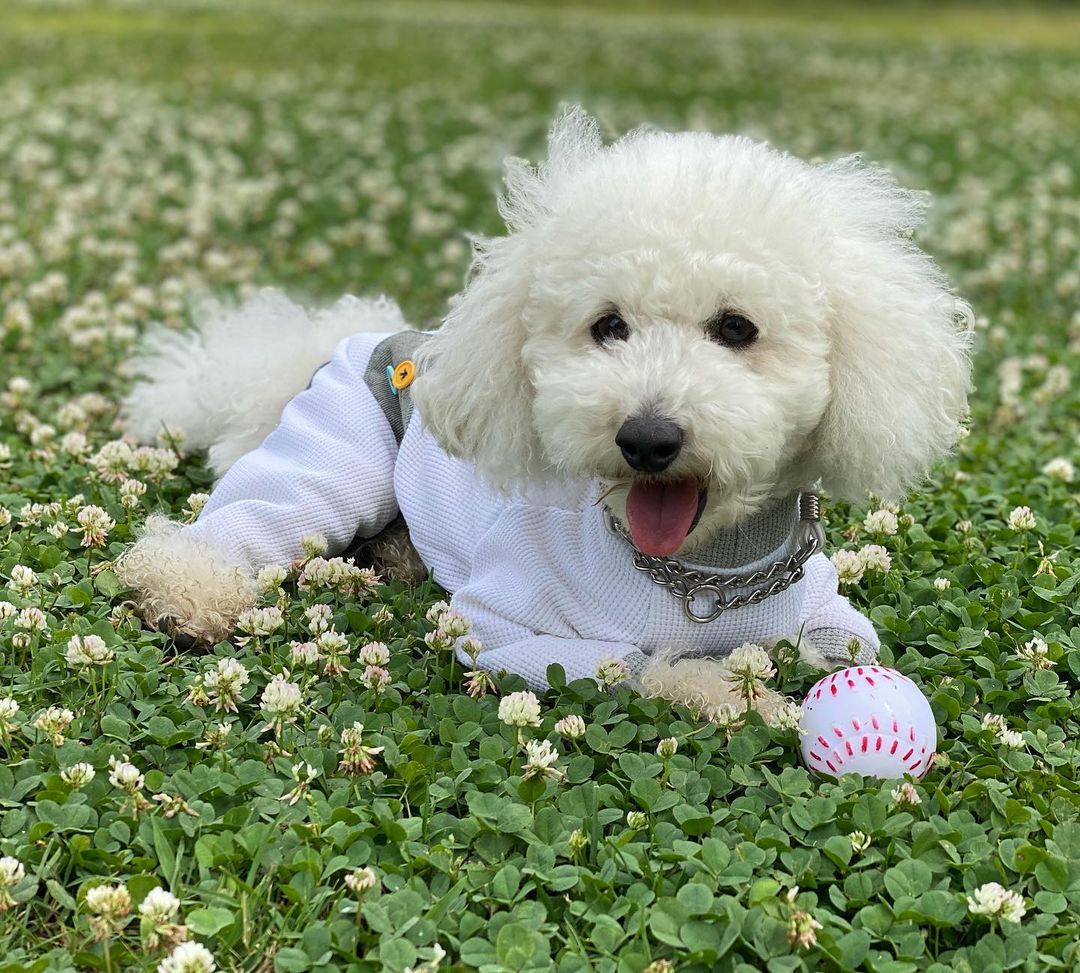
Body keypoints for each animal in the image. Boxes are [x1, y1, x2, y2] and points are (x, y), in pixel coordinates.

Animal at [116, 106, 972, 721]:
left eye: (737, 328)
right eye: (608, 326)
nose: (647, 439)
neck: (701, 574)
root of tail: (339, 337)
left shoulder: (831, 617)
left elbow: (841, 645)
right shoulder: (507, 629)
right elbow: (641, 666)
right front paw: (739, 699)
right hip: (337, 454)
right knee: (242, 521)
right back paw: (188, 595)